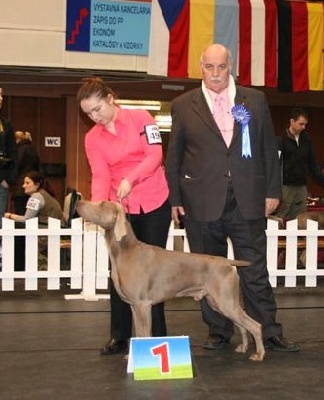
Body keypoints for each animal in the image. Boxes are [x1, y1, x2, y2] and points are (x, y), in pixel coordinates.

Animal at [76, 202, 266, 360]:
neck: (124, 251)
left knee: (255, 325)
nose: (78, 202)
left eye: (101, 204)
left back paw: (259, 354)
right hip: (219, 302)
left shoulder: (142, 304)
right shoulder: (134, 306)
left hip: (225, 301)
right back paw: (243, 347)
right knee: (241, 325)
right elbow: (138, 333)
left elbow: (144, 333)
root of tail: (227, 261)